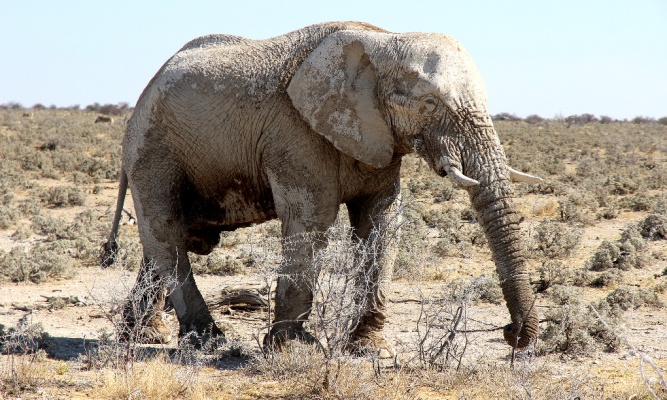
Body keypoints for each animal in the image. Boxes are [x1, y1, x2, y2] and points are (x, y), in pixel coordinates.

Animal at [102, 21, 543, 356]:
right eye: (430, 104)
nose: (512, 336)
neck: (382, 40)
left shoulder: (376, 137)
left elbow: (382, 222)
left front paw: (369, 350)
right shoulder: (294, 132)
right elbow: (313, 216)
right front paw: (293, 349)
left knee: (165, 239)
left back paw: (143, 335)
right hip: (153, 148)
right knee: (167, 232)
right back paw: (207, 343)